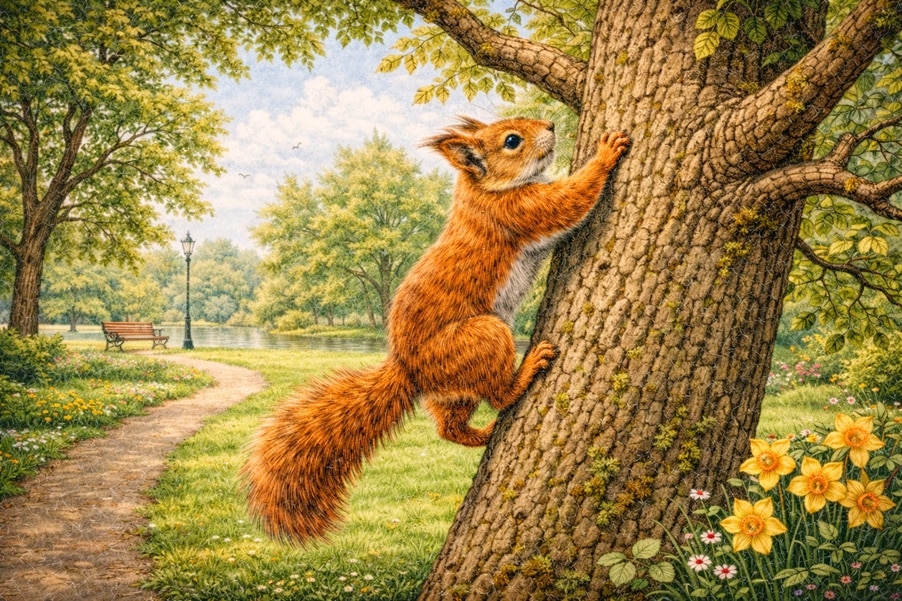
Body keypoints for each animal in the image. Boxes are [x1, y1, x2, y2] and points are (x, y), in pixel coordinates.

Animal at [242, 117, 630, 543]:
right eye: (511, 141)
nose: (551, 124)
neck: (480, 192)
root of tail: (408, 370)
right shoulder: (518, 210)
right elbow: (570, 200)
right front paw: (606, 153)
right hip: (481, 339)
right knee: (497, 395)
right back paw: (526, 372)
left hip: (453, 386)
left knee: (449, 428)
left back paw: (480, 434)